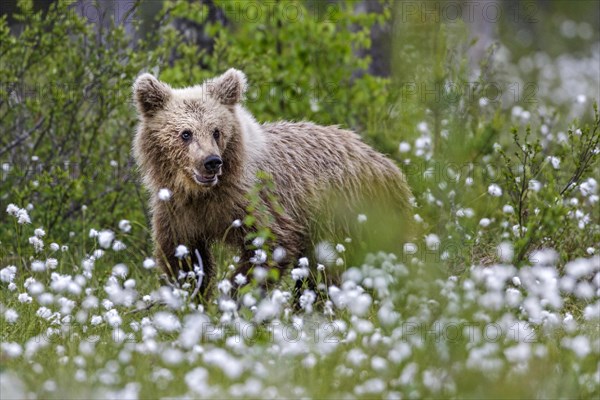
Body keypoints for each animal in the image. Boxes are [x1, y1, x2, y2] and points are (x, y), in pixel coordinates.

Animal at [131, 68, 412, 294]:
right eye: (185, 133)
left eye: (216, 131)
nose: (211, 161)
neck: (203, 193)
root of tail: (384, 161)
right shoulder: (178, 212)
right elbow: (183, 258)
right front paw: (191, 297)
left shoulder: (252, 202)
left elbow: (269, 244)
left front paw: (235, 296)